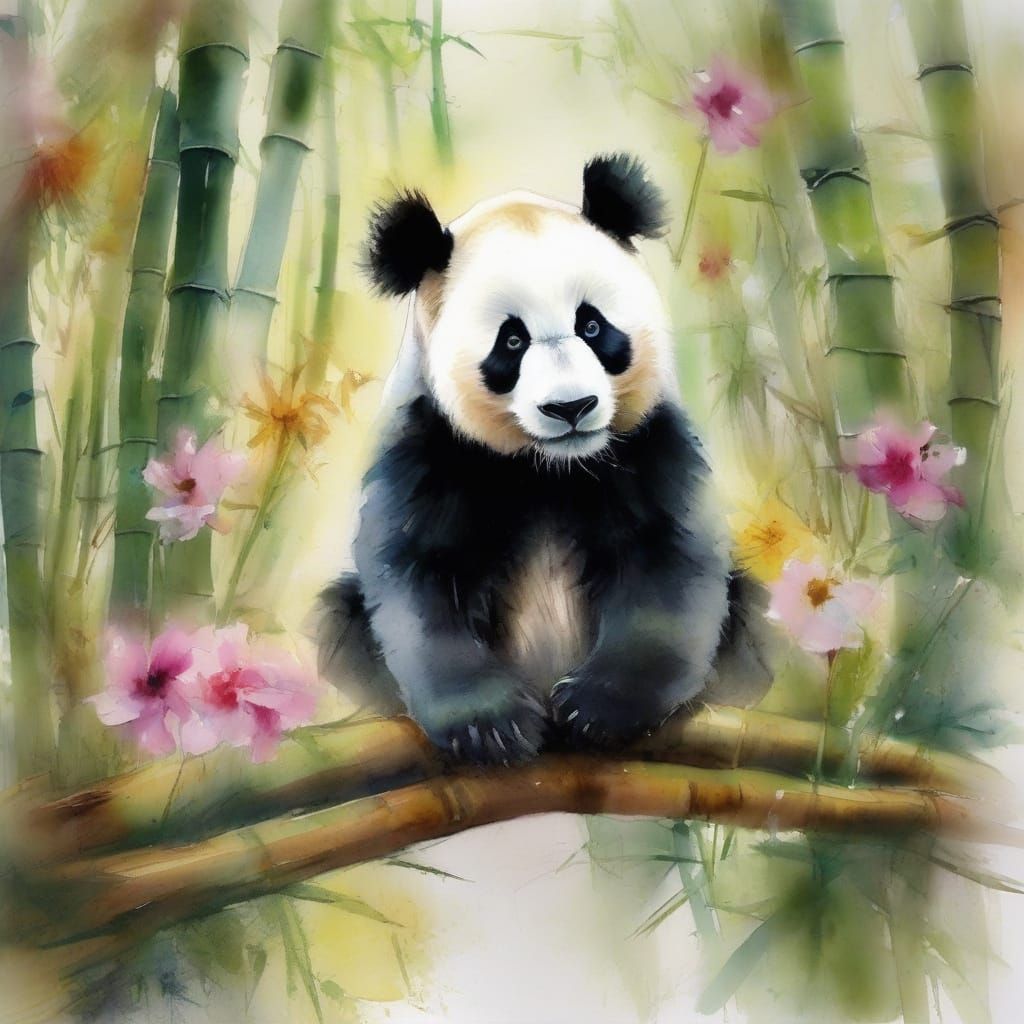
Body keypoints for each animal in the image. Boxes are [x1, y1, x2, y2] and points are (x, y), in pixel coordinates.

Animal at [319, 153, 769, 765]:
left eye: (593, 325)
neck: (548, 467)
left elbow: (669, 563)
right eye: (511, 342)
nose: (571, 407)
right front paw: (490, 724)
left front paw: (600, 708)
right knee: (339, 620)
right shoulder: (429, 447)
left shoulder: (649, 442)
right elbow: (417, 578)